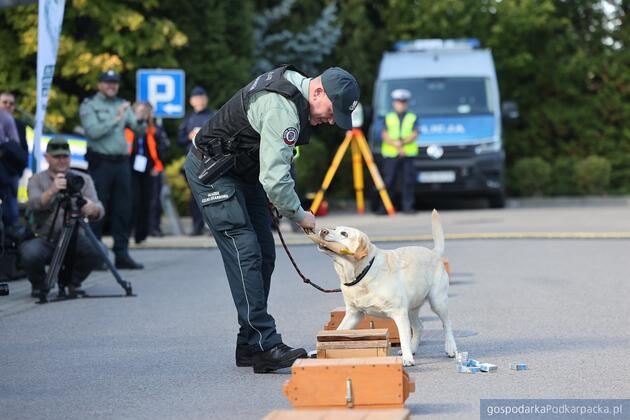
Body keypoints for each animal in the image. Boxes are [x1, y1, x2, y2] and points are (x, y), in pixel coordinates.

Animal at [318, 212, 456, 366]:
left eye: (344, 233)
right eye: (334, 229)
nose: (322, 231)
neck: (362, 272)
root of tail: (434, 252)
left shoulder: (399, 312)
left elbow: (403, 337)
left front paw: (407, 359)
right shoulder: (354, 313)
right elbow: (339, 330)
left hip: (437, 302)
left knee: (447, 323)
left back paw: (450, 348)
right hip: (412, 308)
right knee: (419, 326)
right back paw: (413, 348)